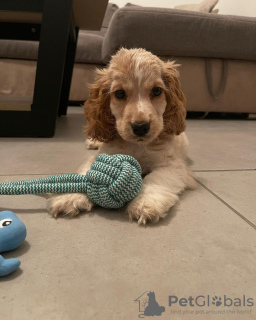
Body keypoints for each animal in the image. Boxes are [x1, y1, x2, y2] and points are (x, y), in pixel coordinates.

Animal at [47, 48, 196, 225]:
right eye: (119, 93)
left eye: (156, 91)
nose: (140, 127)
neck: (137, 145)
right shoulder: (104, 156)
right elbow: (86, 174)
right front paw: (69, 197)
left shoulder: (171, 164)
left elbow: (155, 179)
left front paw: (144, 203)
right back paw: (93, 142)